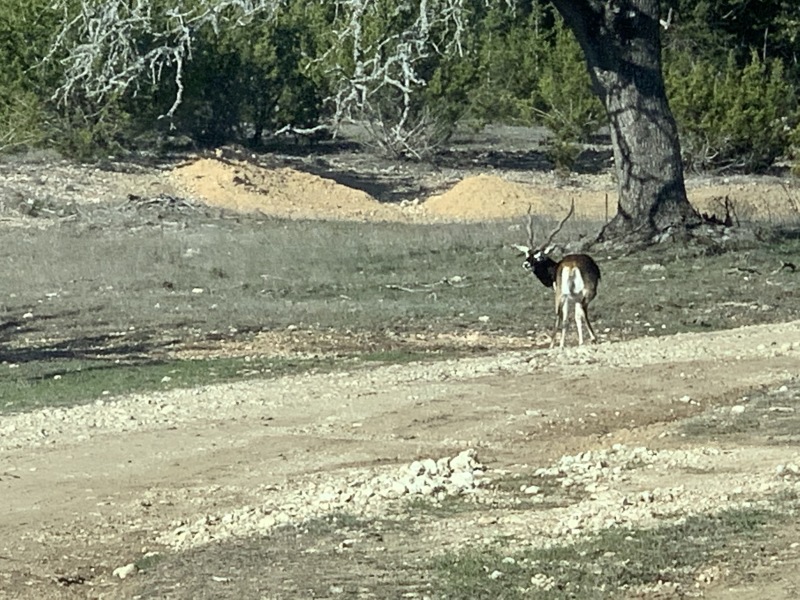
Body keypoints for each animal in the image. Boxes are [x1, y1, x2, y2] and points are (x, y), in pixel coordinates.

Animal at [513, 201, 601, 349]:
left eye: (540, 256)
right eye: (527, 254)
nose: (526, 264)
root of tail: (572, 266)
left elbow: (567, 318)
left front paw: (562, 344)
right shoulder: (575, 297)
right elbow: (576, 317)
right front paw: (580, 342)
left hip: (562, 294)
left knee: (560, 315)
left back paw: (554, 344)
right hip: (580, 294)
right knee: (577, 313)